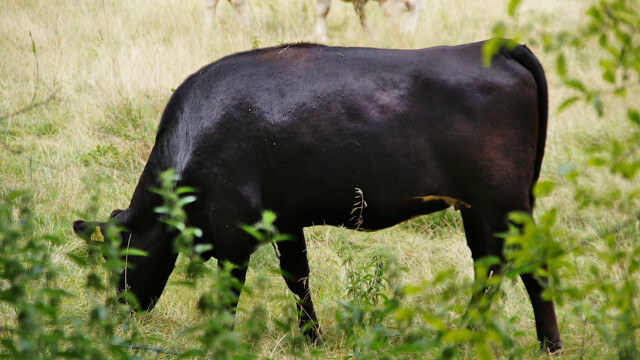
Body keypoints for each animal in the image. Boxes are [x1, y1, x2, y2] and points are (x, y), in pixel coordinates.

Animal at [74, 39, 560, 352]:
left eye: (123, 254)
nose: (121, 308)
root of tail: (498, 46)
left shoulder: (232, 223)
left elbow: (232, 287)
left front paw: (221, 340)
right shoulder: (285, 218)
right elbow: (298, 277)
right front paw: (313, 339)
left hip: (506, 199)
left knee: (532, 263)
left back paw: (549, 344)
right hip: (477, 206)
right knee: (489, 261)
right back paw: (466, 333)